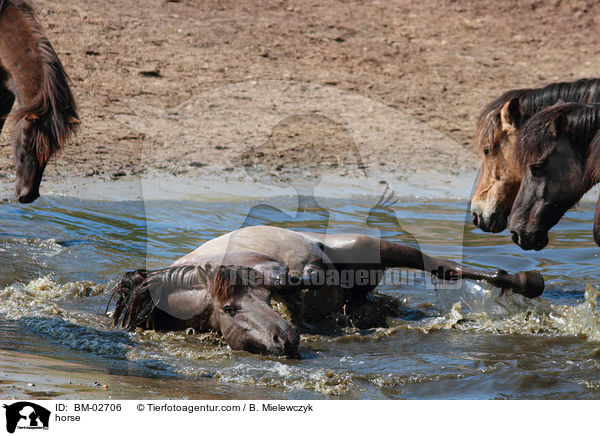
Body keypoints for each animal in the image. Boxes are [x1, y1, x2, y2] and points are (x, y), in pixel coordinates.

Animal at [111, 227, 544, 356]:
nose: (285, 339)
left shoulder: (266, 272)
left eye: (261, 302)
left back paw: (527, 281)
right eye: (230, 311)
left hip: (383, 248)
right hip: (364, 289)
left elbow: (298, 280)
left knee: (444, 267)